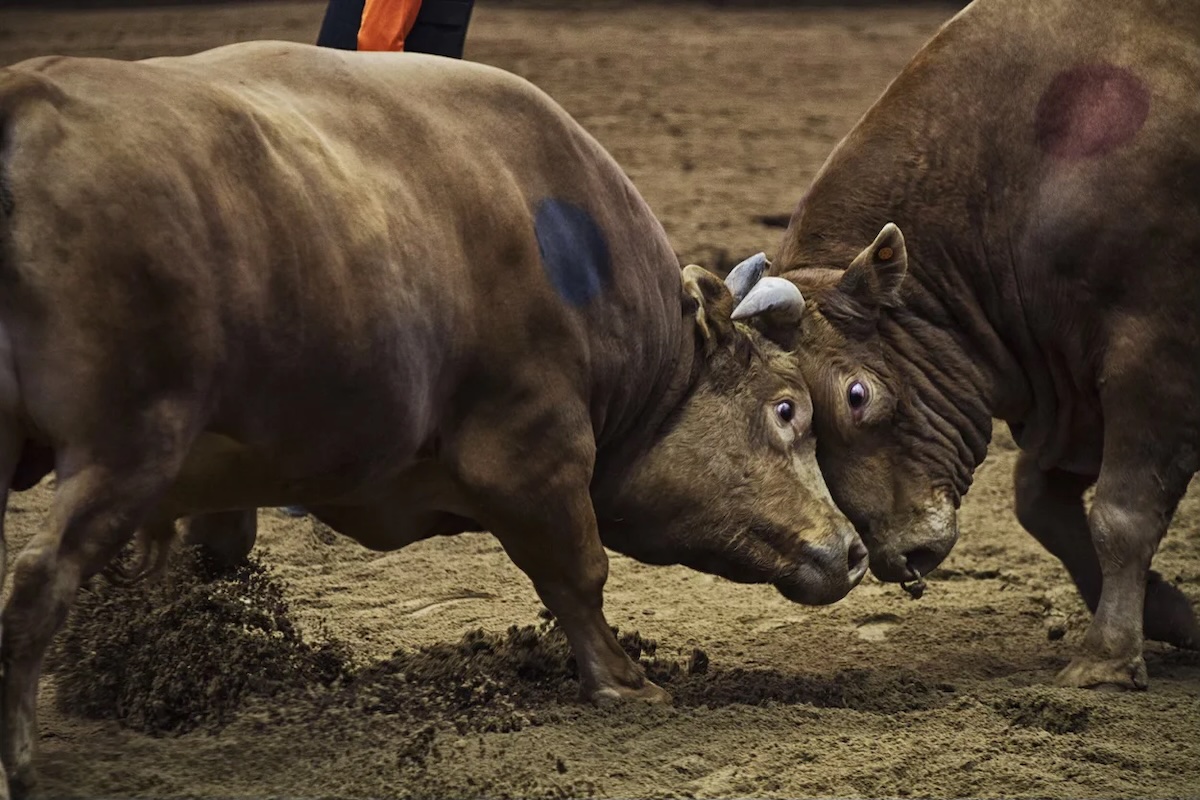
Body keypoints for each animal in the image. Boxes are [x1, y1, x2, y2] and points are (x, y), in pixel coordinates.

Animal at [0, 41, 867, 796]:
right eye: (786, 410)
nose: (853, 550)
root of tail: (26, 104)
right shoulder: (532, 450)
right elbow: (578, 570)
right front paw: (624, 682)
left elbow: (219, 546)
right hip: (128, 441)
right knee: (38, 579)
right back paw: (20, 761)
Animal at [763, 0, 1200, 693]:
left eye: (856, 395)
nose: (900, 557)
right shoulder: (1073, 392)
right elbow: (1039, 504)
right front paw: (1172, 614)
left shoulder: (1154, 355)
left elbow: (1122, 513)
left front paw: (1105, 658)